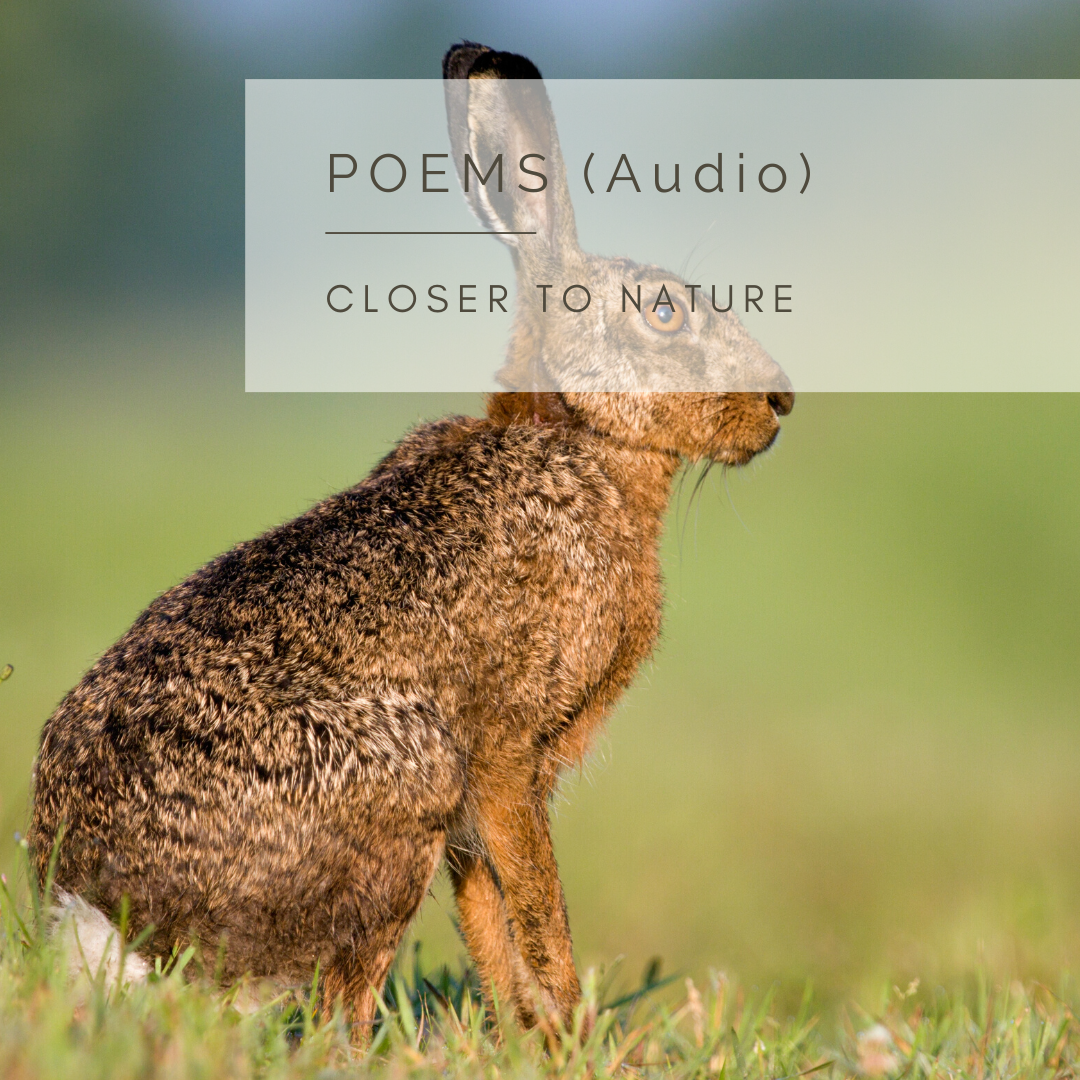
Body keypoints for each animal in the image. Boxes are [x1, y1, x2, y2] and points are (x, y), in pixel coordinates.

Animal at [29, 42, 793, 1041]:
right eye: (664, 313)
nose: (780, 400)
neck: (576, 443)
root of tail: (112, 921)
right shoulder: (504, 756)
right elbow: (537, 902)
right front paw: (571, 1029)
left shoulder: (485, 805)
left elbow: (485, 911)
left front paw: (526, 1037)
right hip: (401, 791)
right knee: (338, 1012)